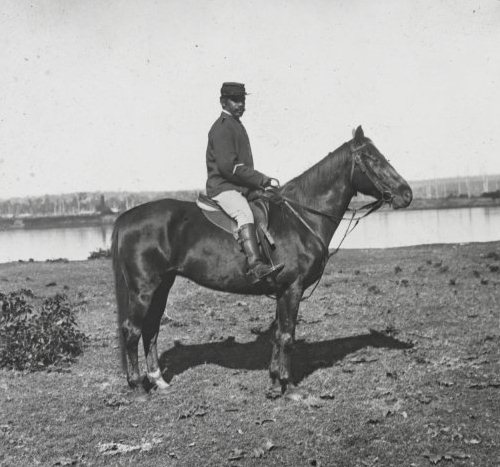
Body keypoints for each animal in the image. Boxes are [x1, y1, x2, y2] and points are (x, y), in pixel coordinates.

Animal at [111, 126, 412, 394]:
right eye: (372, 158)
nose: (407, 194)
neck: (299, 217)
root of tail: (127, 217)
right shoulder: (293, 287)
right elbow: (288, 336)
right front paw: (289, 386)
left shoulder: (282, 290)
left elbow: (278, 334)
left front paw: (275, 379)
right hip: (144, 289)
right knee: (132, 330)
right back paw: (137, 385)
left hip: (163, 285)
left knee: (151, 329)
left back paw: (158, 380)